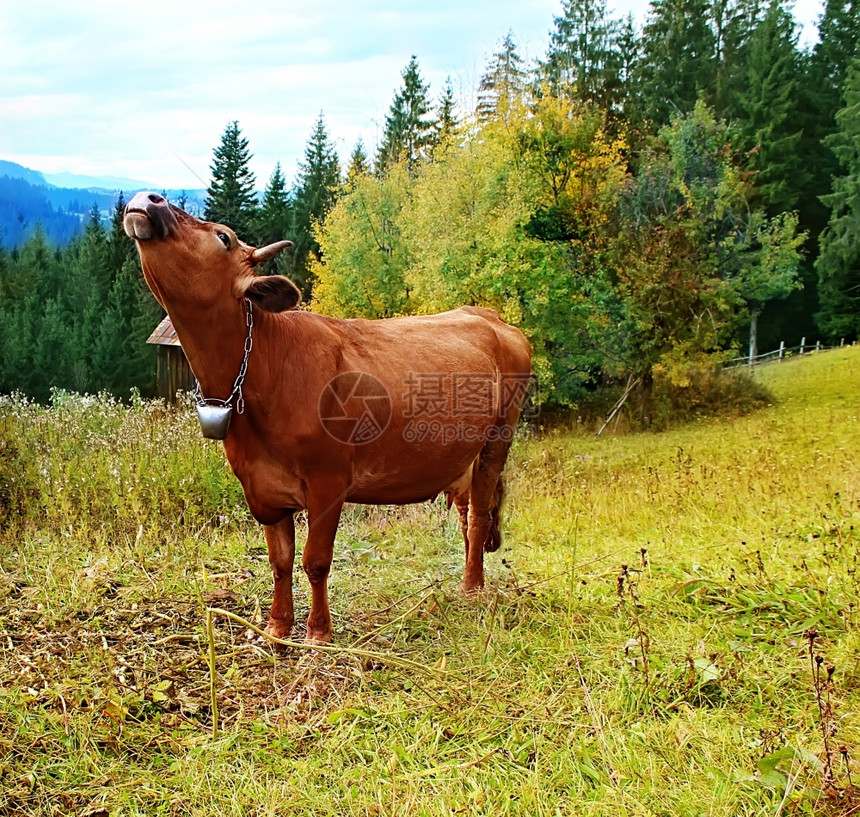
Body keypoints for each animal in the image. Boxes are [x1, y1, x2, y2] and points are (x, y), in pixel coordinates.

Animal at [124, 191, 532, 644]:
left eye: (224, 237)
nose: (149, 198)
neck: (265, 368)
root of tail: (488, 316)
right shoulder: (261, 487)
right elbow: (280, 560)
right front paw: (278, 626)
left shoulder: (329, 481)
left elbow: (314, 559)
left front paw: (319, 632)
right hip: (462, 455)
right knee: (465, 513)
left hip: (499, 438)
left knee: (479, 514)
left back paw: (472, 589)